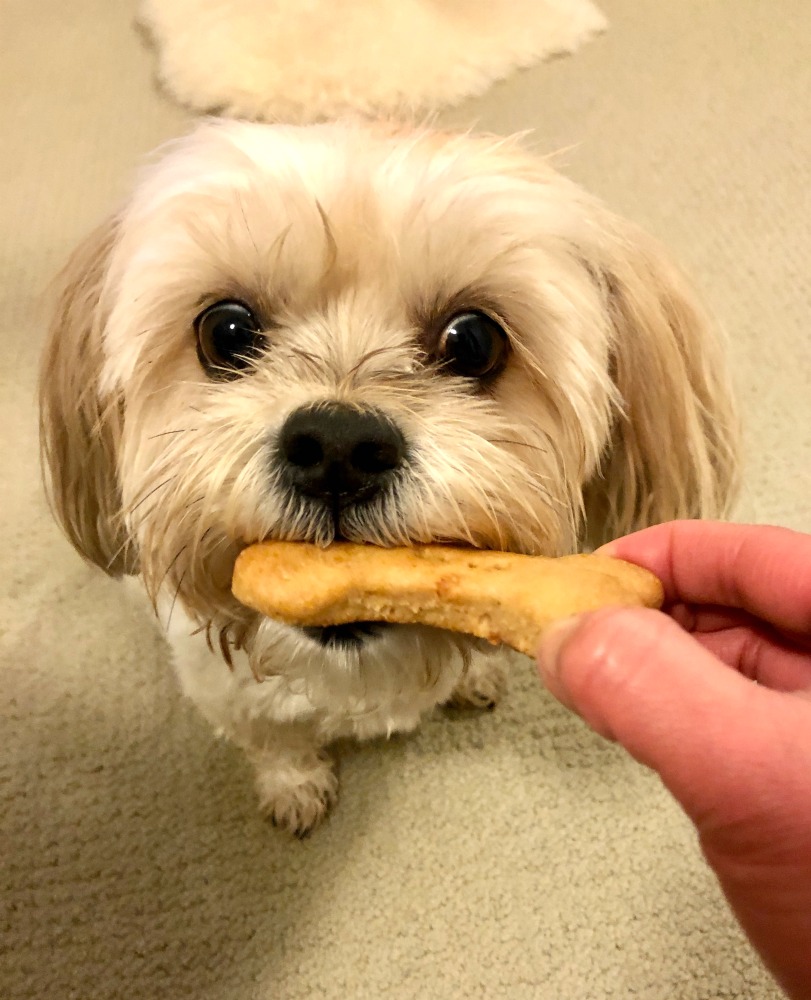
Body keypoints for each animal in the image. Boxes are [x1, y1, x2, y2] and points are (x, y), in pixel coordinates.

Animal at [42, 119, 744, 836]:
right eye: (225, 330)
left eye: (474, 341)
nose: (338, 447)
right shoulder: (224, 690)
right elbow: (275, 739)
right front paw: (295, 785)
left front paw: (474, 671)